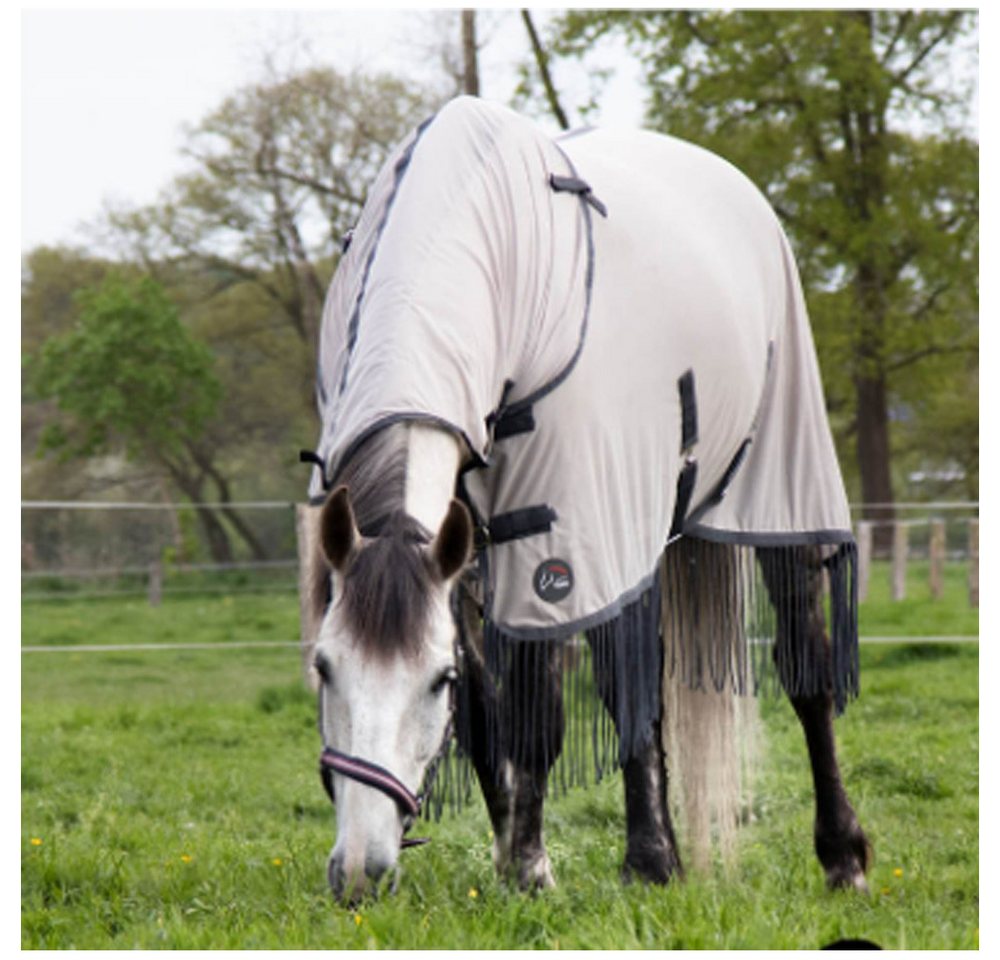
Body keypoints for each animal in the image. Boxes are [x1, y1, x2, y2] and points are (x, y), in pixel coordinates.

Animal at [299, 97, 871, 904]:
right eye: (324, 667)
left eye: (433, 681)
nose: (359, 871)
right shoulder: (467, 555)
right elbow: (493, 715)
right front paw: (515, 850)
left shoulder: (558, 538)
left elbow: (539, 713)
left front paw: (532, 867)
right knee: (640, 684)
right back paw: (662, 854)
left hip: (760, 492)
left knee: (805, 669)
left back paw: (831, 854)